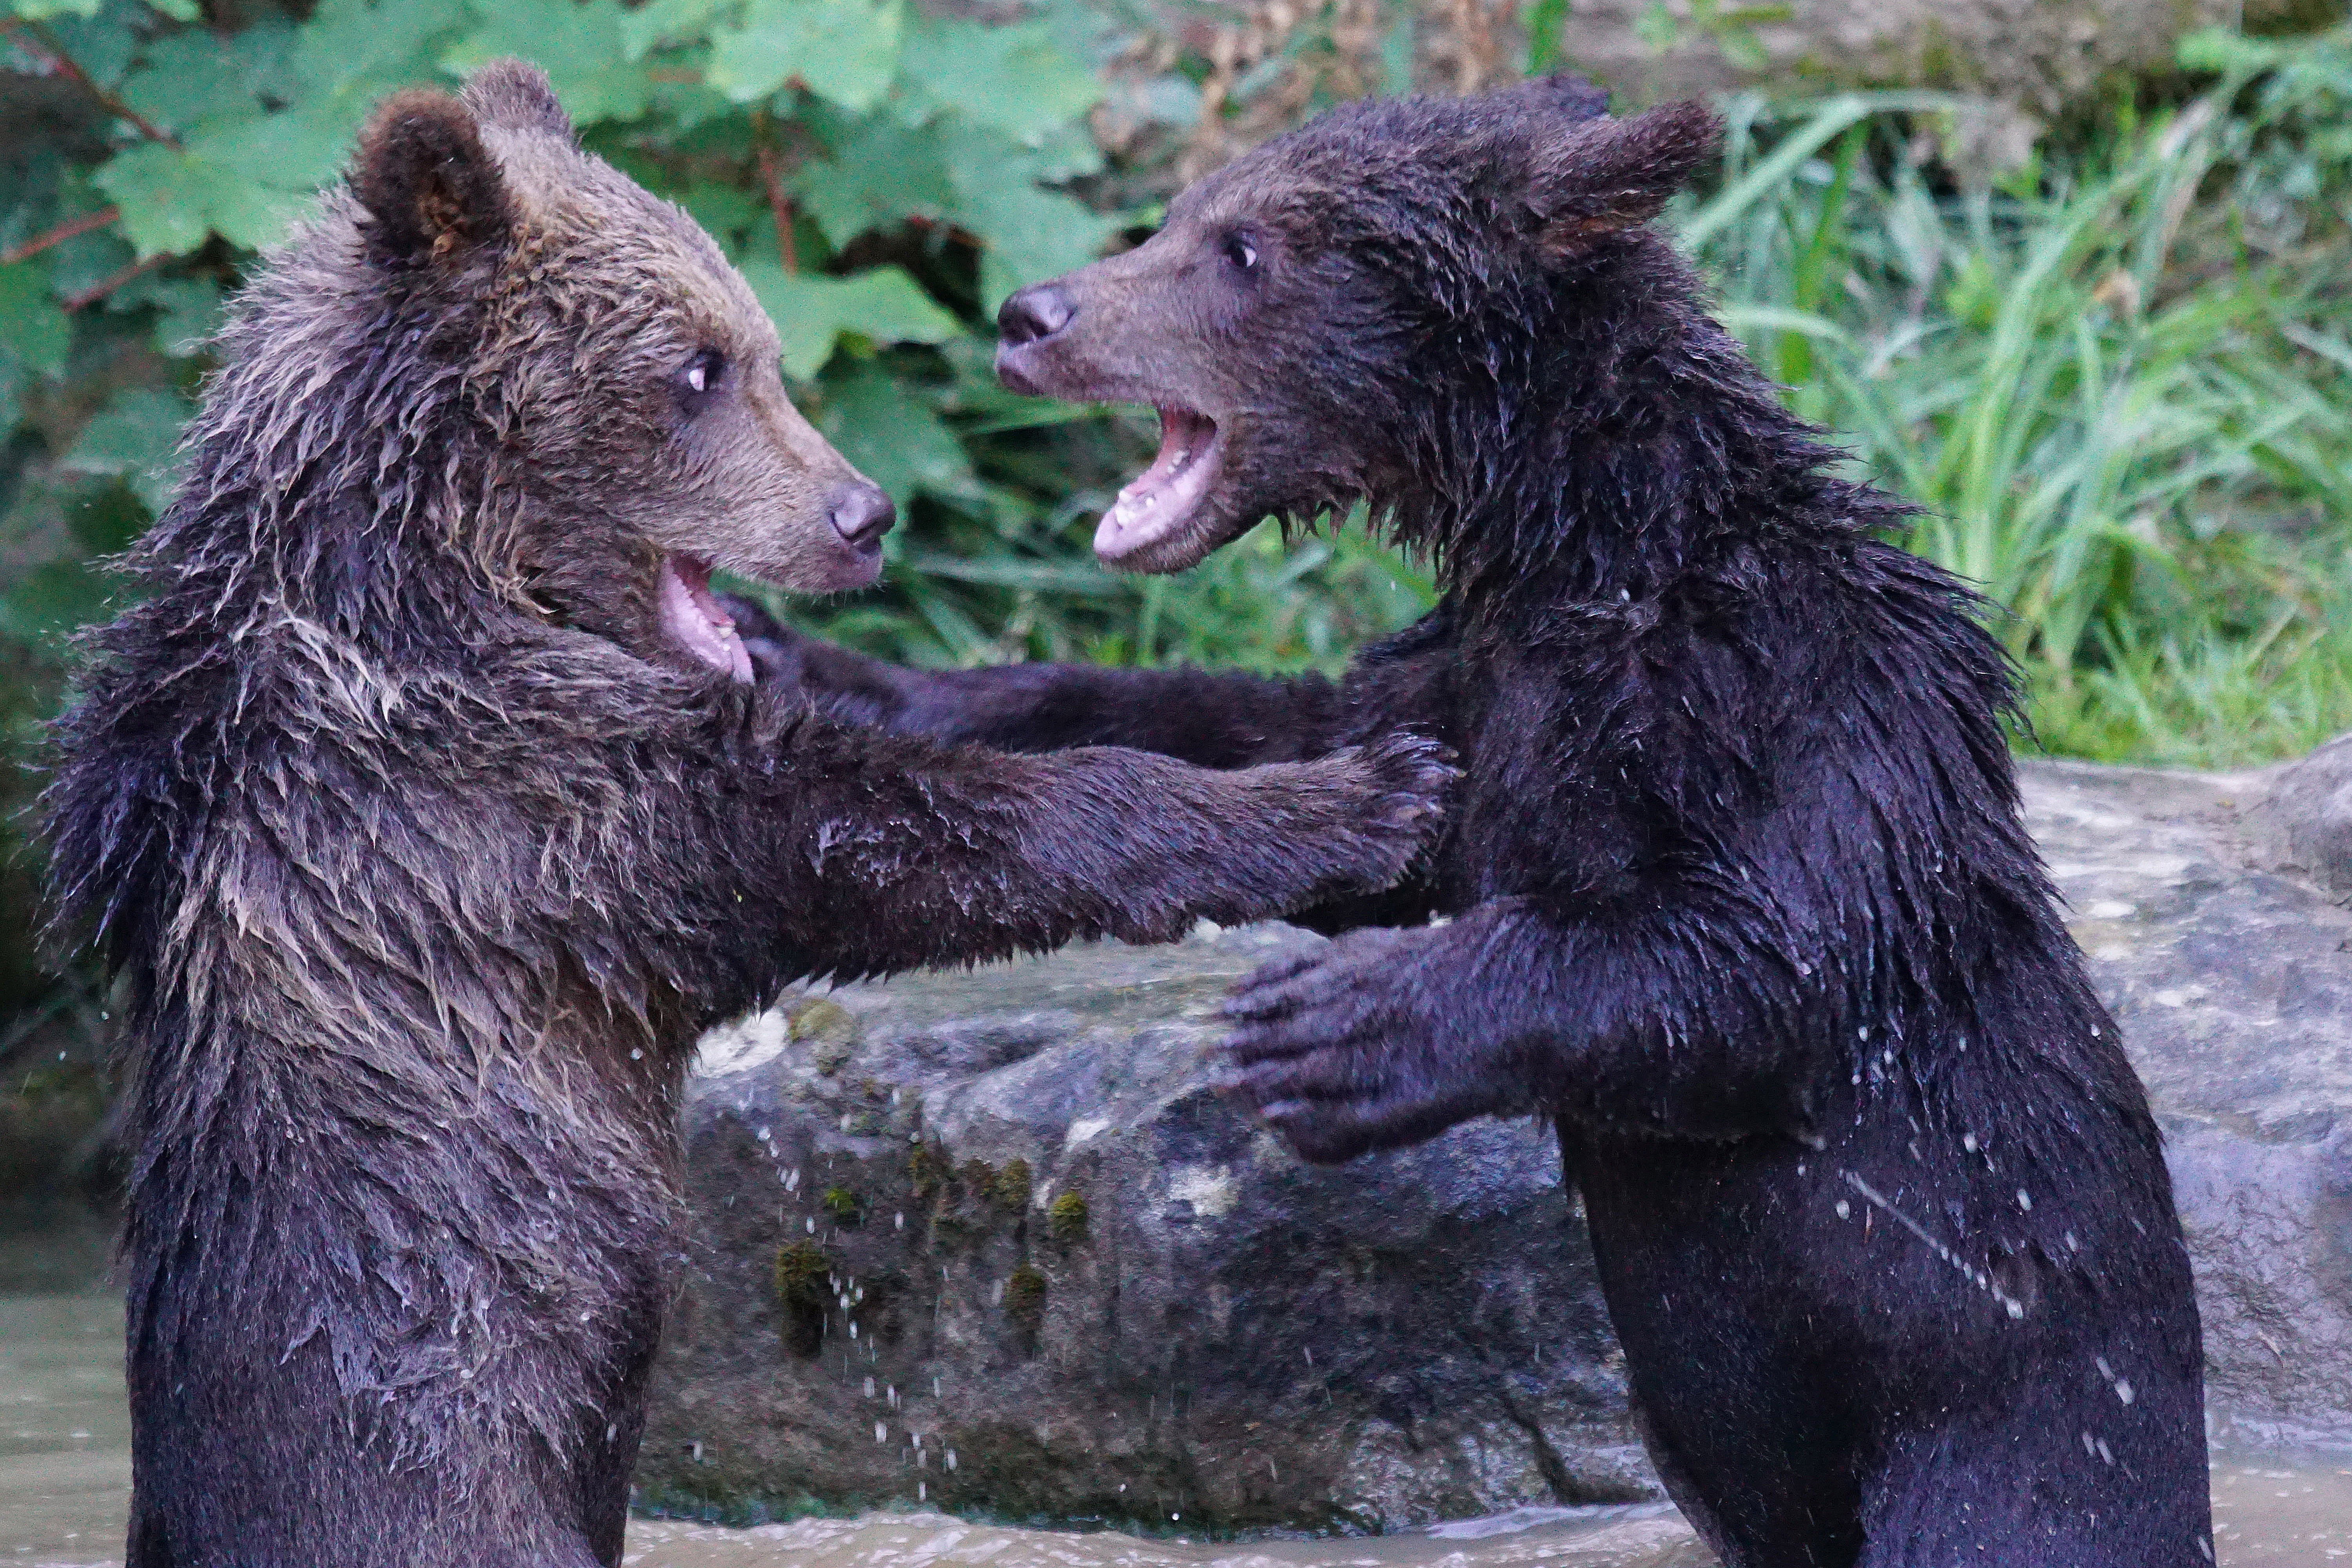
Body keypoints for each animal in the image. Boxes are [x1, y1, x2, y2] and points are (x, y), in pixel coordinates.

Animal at [42, 61, 1452, 1568]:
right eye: (695, 368)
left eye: (760, 346)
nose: (861, 514)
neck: (428, 575)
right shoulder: (499, 803)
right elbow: (891, 835)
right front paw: (1366, 791)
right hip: (427, 1486)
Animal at [729, 79, 2213, 1567]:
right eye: (1182, 214)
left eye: (1243, 247)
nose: (1030, 315)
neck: (1586, 552)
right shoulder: (1473, 685)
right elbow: (1279, 740)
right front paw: (829, 666)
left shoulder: (1787, 688)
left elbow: (1760, 954)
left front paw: (1330, 1031)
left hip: (2008, 1422)